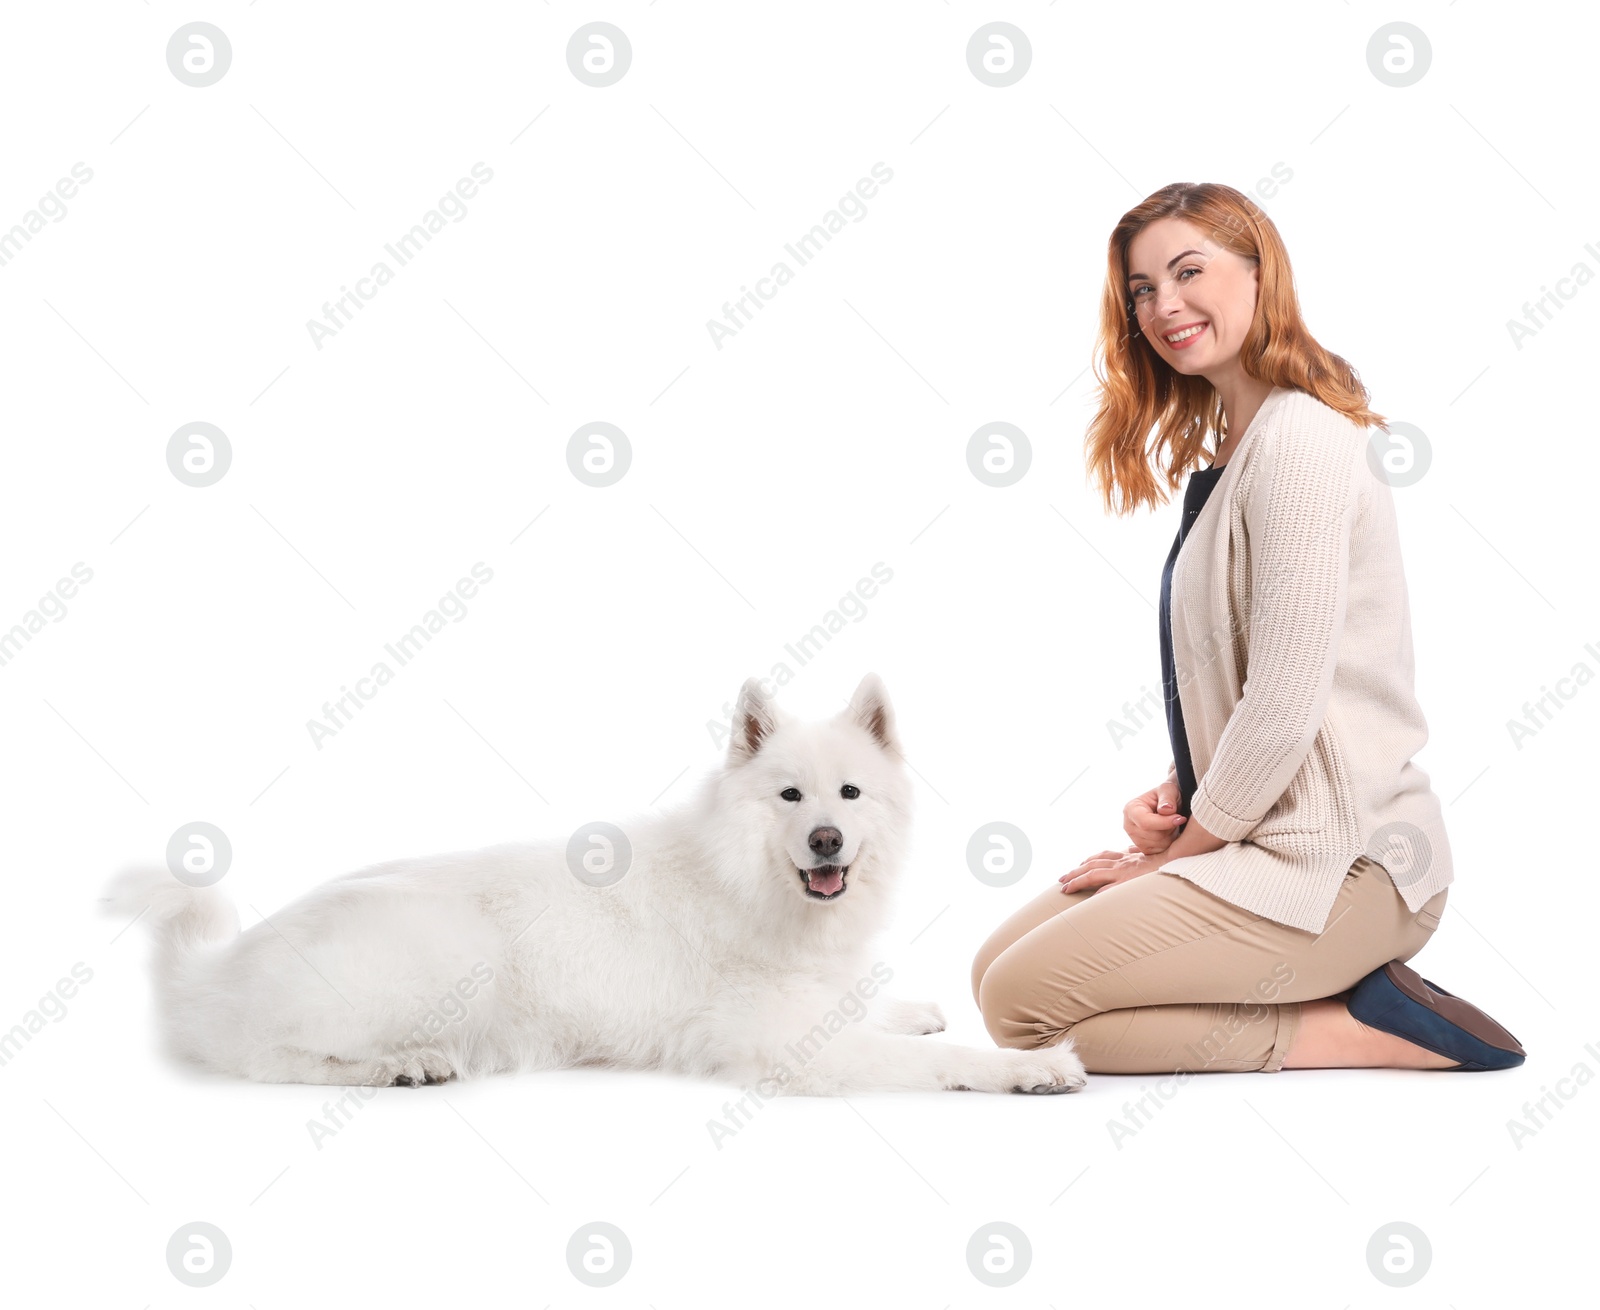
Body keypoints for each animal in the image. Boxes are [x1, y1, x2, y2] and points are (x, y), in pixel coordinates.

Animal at [103, 674, 1088, 1094]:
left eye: (849, 793)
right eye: (790, 796)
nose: (826, 841)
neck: (743, 883)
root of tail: (214, 971)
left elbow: (878, 1010)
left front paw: (910, 1004)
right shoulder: (786, 1050)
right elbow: (936, 1060)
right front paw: (1030, 1068)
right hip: (445, 957)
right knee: (264, 1056)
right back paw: (399, 1064)